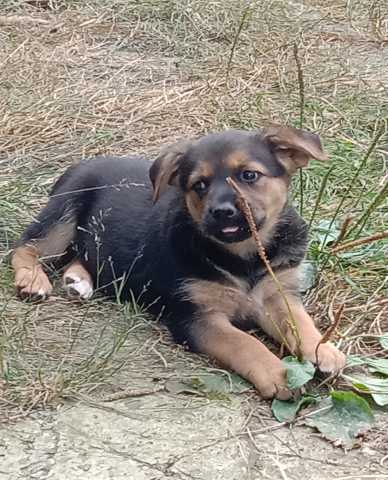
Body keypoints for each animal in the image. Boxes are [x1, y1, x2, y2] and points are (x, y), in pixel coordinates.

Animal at [11, 125, 346, 400]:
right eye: (200, 185)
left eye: (249, 175)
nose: (222, 212)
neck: (244, 255)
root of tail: (81, 162)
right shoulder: (197, 317)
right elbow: (244, 343)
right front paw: (278, 373)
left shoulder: (277, 293)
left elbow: (299, 322)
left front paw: (323, 349)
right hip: (64, 213)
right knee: (23, 247)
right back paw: (33, 280)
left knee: (81, 257)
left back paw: (78, 281)